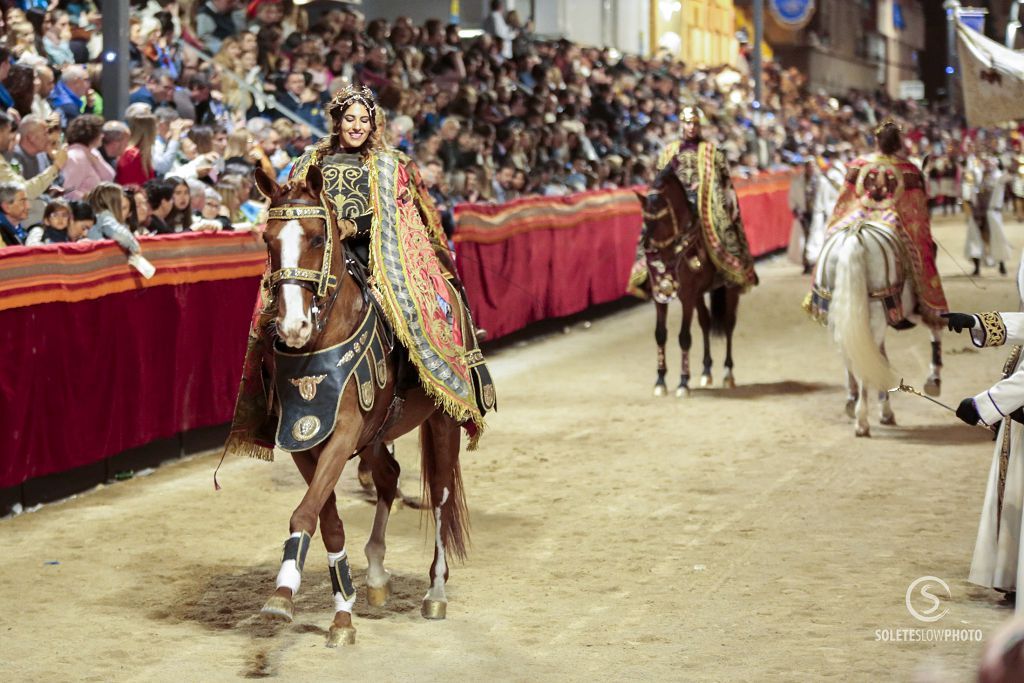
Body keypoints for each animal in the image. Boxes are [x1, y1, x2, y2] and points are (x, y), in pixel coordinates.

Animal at [253, 165, 468, 647]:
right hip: (377, 434)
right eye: (268, 240)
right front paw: (340, 614)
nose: (292, 326)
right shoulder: (304, 439)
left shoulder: (345, 431)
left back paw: (435, 592)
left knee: (441, 496)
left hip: (442, 421)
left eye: (318, 238)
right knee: (389, 477)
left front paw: (284, 592)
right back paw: (375, 574)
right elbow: (327, 520)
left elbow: (305, 512)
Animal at [634, 167, 741, 397]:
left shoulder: (687, 297)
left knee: (729, 324)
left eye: (662, 218)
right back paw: (706, 371)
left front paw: (683, 382)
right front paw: (660, 381)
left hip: (730, 290)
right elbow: (660, 334)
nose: (649, 250)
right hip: (699, 295)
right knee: (705, 322)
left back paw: (728, 374)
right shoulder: (660, 297)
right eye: (644, 220)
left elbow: (684, 337)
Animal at [811, 220, 946, 438]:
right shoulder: (912, 310)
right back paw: (862, 422)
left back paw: (854, 404)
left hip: (840, 315)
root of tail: (855, 234)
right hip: (877, 315)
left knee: (851, 356)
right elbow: (935, 329)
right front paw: (933, 380)